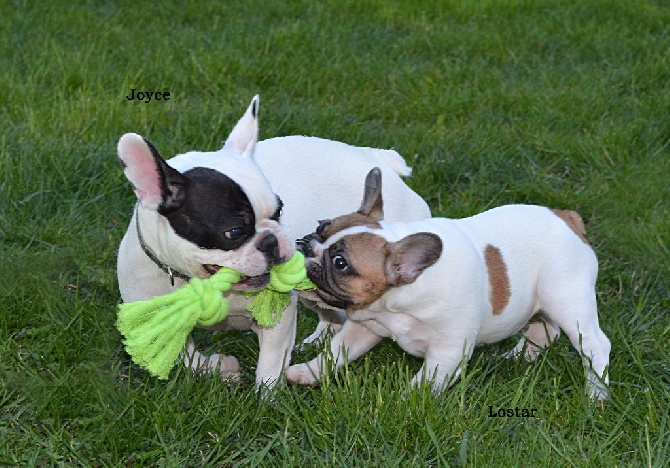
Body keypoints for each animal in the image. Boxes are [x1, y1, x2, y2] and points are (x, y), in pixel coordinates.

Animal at [115, 95, 430, 388]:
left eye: (279, 210)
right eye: (234, 232)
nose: (271, 240)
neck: (200, 282)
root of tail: (380, 162)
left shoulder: (280, 317)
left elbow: (271, 363)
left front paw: (265, 399)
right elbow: (184, 358)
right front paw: (217, 369)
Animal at [288, 166, 616, 400]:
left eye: (340, 263)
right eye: (321, 226)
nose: (307, 245)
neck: (396, 302)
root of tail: (567, 217)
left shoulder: (447, 352)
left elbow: (424, 383)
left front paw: (407, 405)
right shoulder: (365, 327)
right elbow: (335, 352)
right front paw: (307, 372)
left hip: (567, 298)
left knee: (594, 344)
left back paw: (596, 394)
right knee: (544, 329)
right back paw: (517, 358)